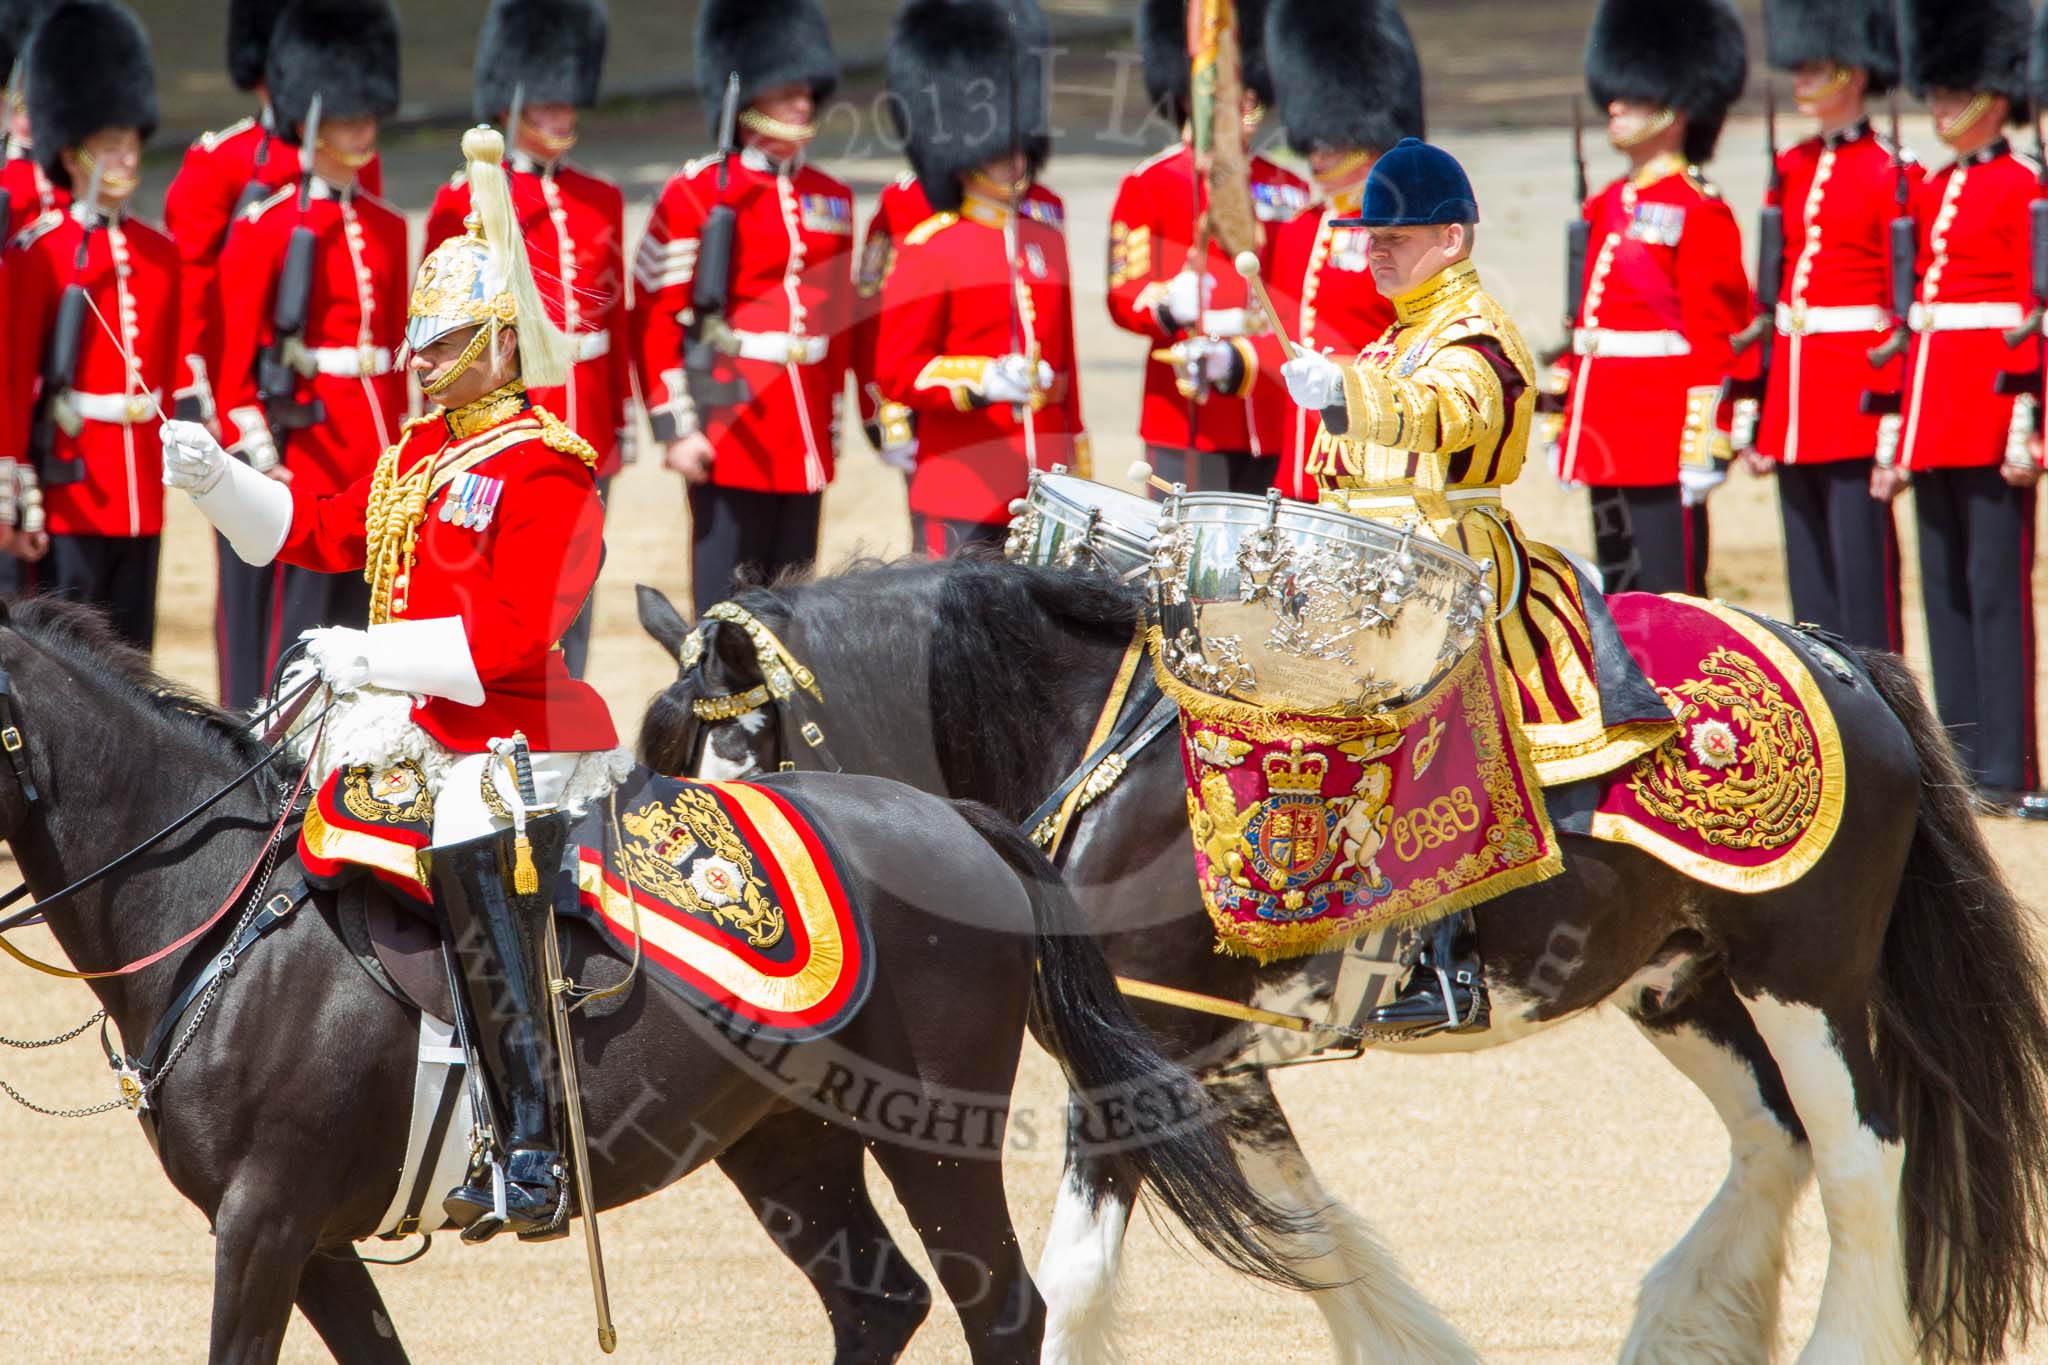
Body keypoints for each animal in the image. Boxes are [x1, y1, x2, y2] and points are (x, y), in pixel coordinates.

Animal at [0, 601, 1302, 1365]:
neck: (214, 917)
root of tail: (957, 818)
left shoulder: (264, 1223)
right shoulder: (308, 1239)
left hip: (934, 1139)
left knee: (1001, 1309)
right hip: (784, 1144)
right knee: (878, 1303)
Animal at [647, 556, 2048, 1365]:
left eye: (736, 764)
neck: (1098, 752)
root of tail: (1829, 654)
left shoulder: (1136, 1071)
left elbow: (1077, 1285)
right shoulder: (1208, 1057)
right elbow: (1315, 1233)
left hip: (1805, 974)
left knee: (1861, 1162)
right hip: (1678, 980)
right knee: (1773, 1144)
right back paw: (1677, 1326)